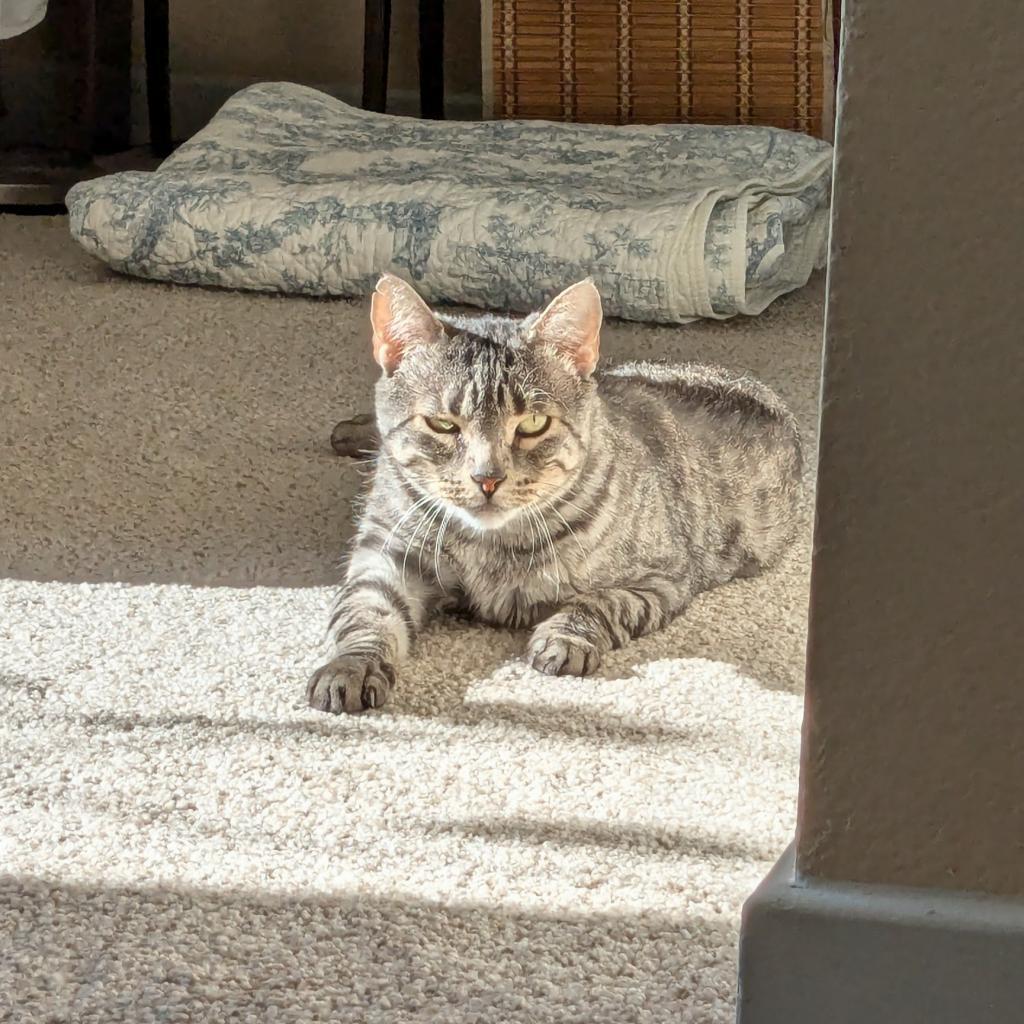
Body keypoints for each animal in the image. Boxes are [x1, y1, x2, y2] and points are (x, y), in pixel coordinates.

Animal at [307, 276, 802, 716]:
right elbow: (364, 615)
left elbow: (599, 604)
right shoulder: (386, 558)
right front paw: (349, 668)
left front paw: (564, 637)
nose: (487, 478)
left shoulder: (663, 577)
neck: (489, 545)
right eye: (443, 425)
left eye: (532, 424)